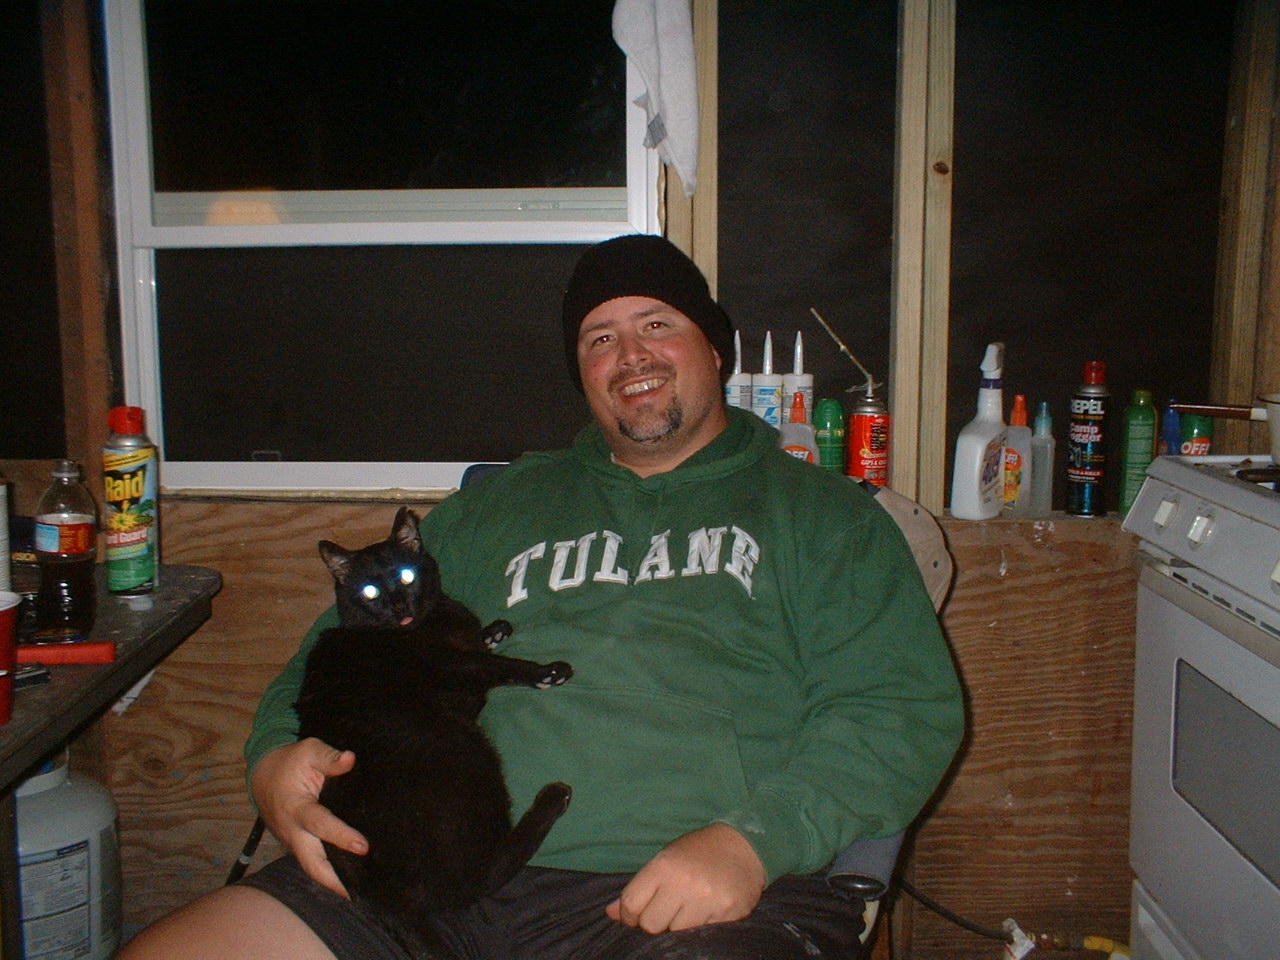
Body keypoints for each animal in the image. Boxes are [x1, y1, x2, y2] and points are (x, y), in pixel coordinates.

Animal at [290, 506, 573, 952]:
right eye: (369, 591)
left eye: (407, 575)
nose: (398, 604)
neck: (418, 626)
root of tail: (376, 891)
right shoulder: (452, 667)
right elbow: (495, 665)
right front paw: (546, 672)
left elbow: (481, 644)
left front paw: (493, 630)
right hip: (462, 749)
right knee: (476, 882)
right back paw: (551, 799)